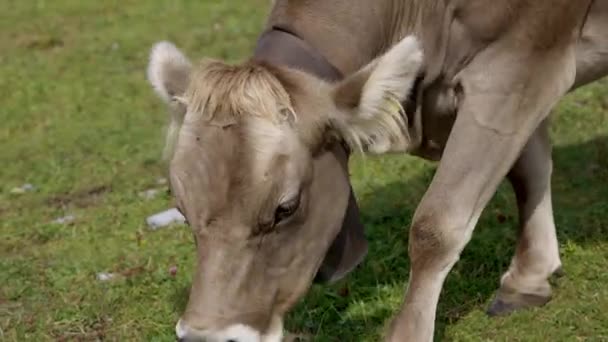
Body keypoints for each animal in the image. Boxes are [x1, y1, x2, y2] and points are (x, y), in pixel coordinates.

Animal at [144, 1, 608, 340]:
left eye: (285, 208)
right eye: (182, 210)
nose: (207, 336)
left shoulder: (519, 61)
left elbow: (437, 223)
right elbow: (529, 169)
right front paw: (530, 276)